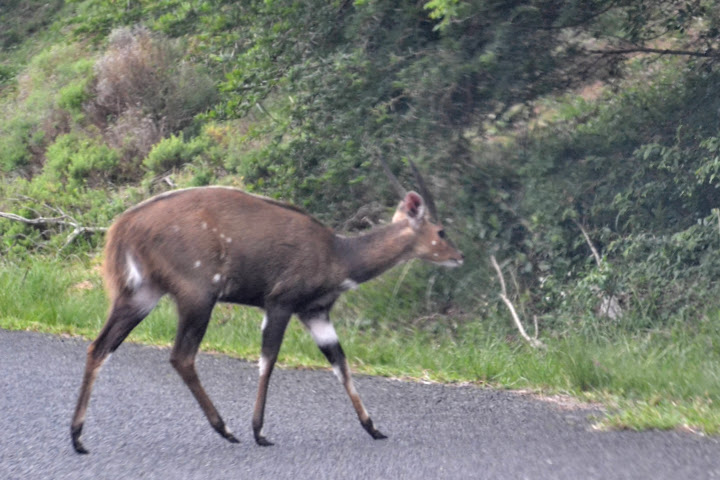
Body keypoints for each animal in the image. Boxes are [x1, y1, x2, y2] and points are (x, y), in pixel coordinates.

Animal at [70, 165, 464, 454]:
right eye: (441, 231)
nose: (460, 256)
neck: (339, 256)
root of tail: (122, 227)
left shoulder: (315, 312)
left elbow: (341, 363)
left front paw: (374, 428)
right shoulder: (280, 302)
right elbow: (268, 360)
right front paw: (259, 432)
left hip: (141, 294)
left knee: (99, 347)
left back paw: (78, 438)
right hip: (197, 293)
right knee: (181, 356)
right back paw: (226, 429)